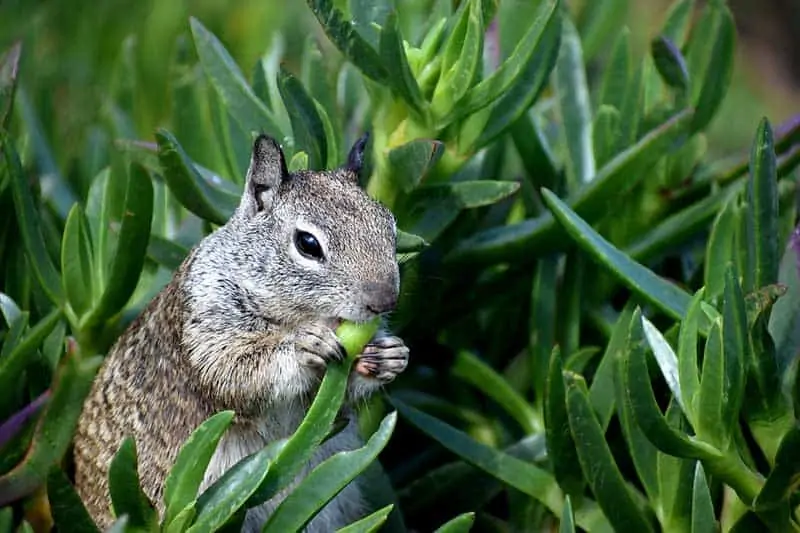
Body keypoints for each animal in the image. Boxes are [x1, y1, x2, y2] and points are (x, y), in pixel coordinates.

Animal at [72, 131, 410, 528]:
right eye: (308, 244)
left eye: (391, 227)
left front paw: (387, 356)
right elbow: (235, 371)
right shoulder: (206, 322)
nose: (384, 301)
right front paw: (303, 348)